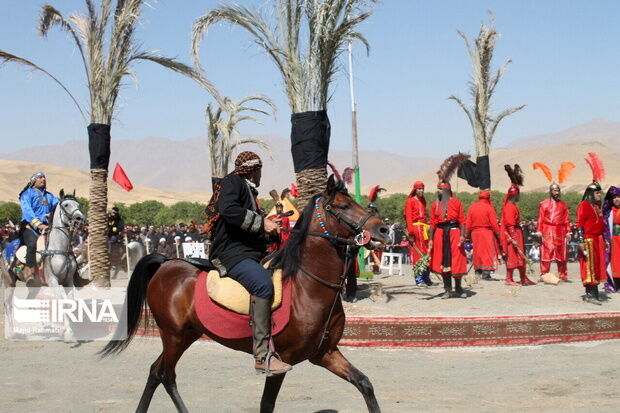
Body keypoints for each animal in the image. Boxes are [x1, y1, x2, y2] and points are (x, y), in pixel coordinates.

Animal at [100, 175, 392, 410]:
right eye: (343, 206)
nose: (383, 229)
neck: (307, 287)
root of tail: (166, 263)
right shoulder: (282, 362)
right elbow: (266, 404)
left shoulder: (325, 353)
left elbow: (365, 383)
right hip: (173, 335)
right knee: (165, 375)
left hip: (186, 335)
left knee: (156, 372)